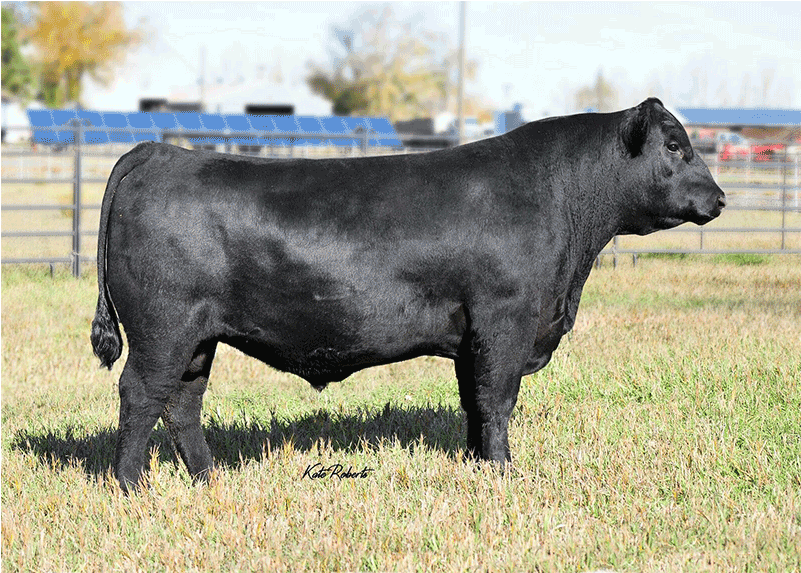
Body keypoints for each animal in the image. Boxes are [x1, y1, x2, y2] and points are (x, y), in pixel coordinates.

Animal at [91, 98, 725, 491]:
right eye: (675, 145)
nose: (719, 199)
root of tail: (161, 152)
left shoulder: (473, 336)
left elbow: (474, 402)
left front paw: (476, 466)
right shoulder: (505, 320)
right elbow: (497, 401)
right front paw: (503, 475)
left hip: (198, 337)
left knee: (181, 403)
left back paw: (207, 479)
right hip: (163, 328)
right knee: (141, 394)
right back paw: (133, 488)